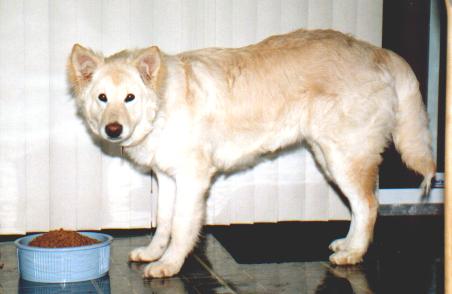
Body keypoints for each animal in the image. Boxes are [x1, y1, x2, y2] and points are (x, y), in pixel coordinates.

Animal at [69, 29, 436, 278]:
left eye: (130, 98)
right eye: (102, 98)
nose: (112, 130)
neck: (162, 102)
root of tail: (379, 52)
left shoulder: (192, 181)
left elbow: (182, 228)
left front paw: (170, 264)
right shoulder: (166, 178)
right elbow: (163, 224)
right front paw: (153, 253)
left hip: (343, 158)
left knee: (369, 205)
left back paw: (353, 253)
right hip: (328, 156)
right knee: (361, 207)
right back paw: (347, 245)